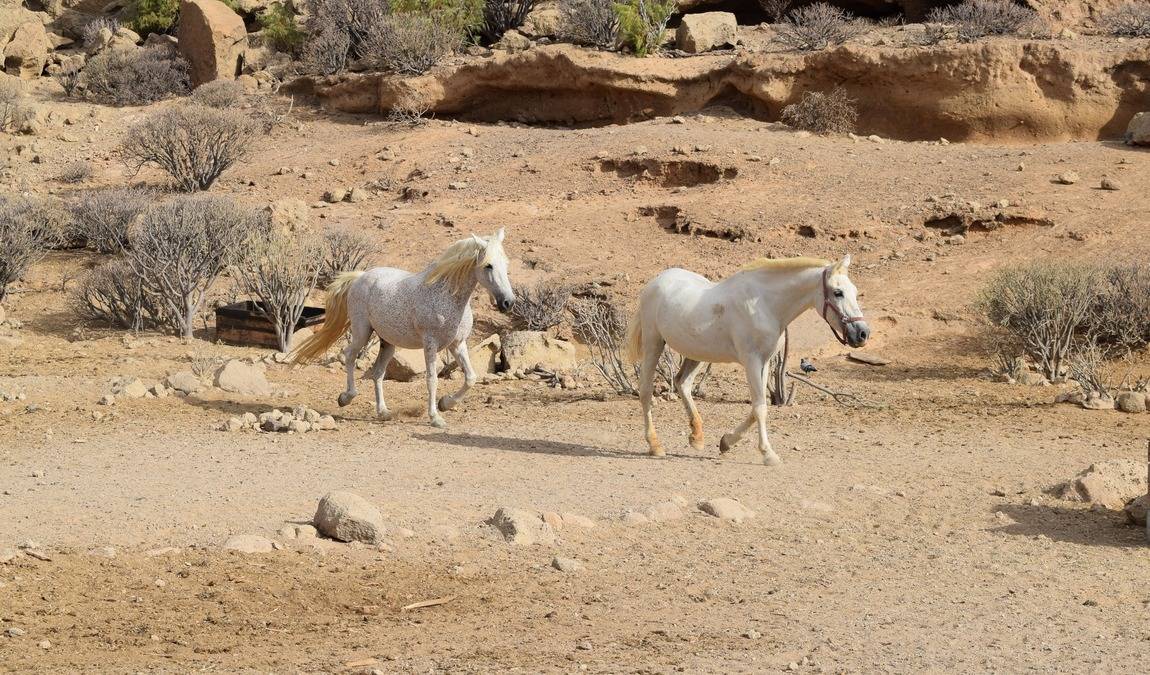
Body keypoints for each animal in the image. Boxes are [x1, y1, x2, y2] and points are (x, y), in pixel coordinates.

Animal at [291, 229, 515, 428]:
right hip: (362, 332)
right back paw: (346, 397)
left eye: (505, 264)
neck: (447, 296)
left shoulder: (457, 344)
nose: (508, 302)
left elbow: (470, 378)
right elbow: (432, 379)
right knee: (350, 355)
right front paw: (435, 417)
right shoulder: (430, 344)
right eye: (488, 266)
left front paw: (445, 403)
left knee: (377, 373)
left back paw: (383, 412)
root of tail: (361, 276)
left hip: (388, 343)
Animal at [624, 255, 869, 465]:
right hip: (654, 344)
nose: (863, 333)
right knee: (646, 391)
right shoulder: (751, 361)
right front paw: (768, 454)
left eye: (855, 291)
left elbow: (756, 408)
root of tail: (655, 282)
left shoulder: (765, 362)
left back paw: (697, 437)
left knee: (682, 383)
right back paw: (655, 445)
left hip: (696, 353)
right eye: (838, 292)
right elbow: (760, 408)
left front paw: (726, 442)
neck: (765, 305)